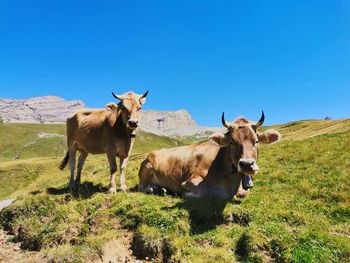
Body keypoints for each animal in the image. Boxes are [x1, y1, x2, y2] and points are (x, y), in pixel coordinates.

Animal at [138, 112, 280, 200]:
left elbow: (245, 192)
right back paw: (156, 189)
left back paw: (162, 189)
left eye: (256, 141)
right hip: (147, 169)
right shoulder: (190, 180)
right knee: (142, 187)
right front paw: (185, 194)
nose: (246, 164)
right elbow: (205, 193)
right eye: (232, 142)